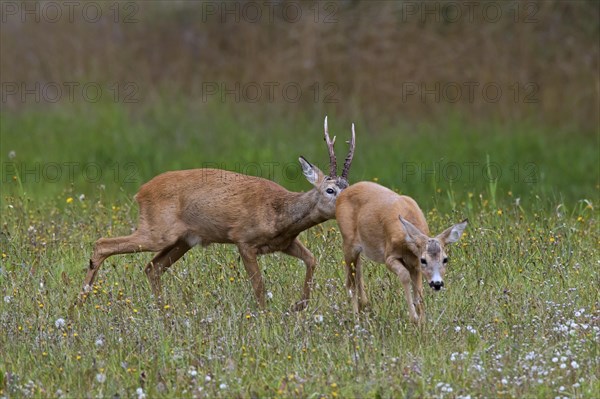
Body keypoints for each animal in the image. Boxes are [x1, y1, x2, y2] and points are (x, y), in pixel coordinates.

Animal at [77, 117, 354, 310]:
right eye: (330, 189)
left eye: (348, 187)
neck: (280, 213)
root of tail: (141, 191)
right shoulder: (243, 239)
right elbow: (259, 288)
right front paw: (266, 316)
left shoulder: (285, 243)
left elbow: (311, 259)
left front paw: (300, 306)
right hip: (158, 231)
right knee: (103, 244)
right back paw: (78, 305)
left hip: (183, 240)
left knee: (152, 268)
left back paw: (163, 312)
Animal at [336, 183, 466, 324]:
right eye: (423, 260)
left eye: (445, 259)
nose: (437, 283)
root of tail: (343, 193)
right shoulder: (389, 257)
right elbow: (404, 275)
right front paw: (414, 318)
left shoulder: (415, 265)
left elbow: (418, 292)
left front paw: (422, 322)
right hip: (348, 244)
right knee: (350, 284)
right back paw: (356, 321)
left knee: (357, 274)